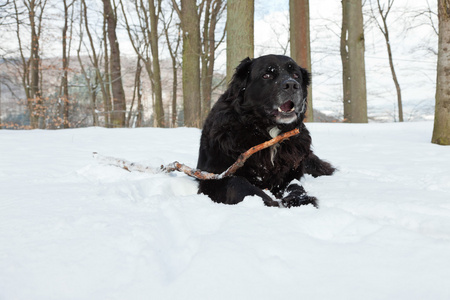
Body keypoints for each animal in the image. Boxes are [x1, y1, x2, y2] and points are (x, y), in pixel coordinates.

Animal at [197, 55, 334, 207]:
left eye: (295, 75)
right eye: (266, 75)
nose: (292, 85)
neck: (269, 132)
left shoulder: (290, 172)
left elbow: (295, 185)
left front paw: (300, 199)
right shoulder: (214, 176)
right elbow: (237, 182)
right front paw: (268, 201)